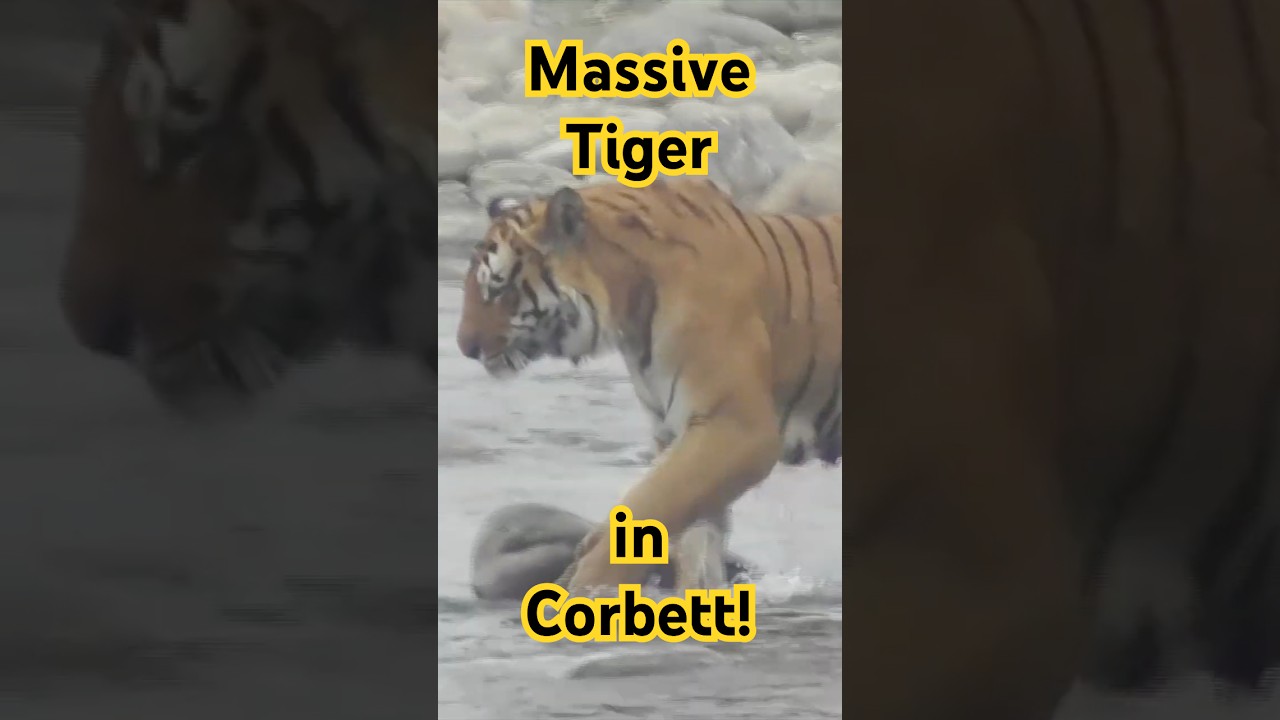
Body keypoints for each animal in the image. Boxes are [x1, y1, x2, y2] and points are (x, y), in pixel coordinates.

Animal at [455, 176, 843, 593]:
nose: (464, 347)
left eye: (497, 290)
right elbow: (695, 540)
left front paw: (585, 587)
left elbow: (650, 505)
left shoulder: (736, 428)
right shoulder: (676, 433)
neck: (628, 310)